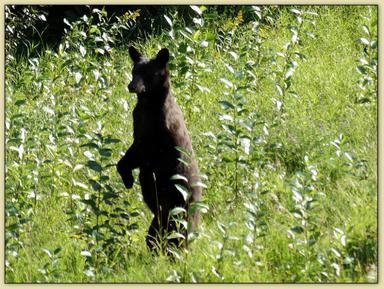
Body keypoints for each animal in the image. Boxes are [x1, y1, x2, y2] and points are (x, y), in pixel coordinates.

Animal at [116, 46, 201, 251]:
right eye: (134, 71)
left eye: (149, 73)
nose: (131, 86)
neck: (149, 104)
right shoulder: (139, 125)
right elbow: (130, 155)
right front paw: (127, 178)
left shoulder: (159, 131)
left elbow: (146, 155)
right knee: (155, 236)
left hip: (176, 207)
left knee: (175, 236)